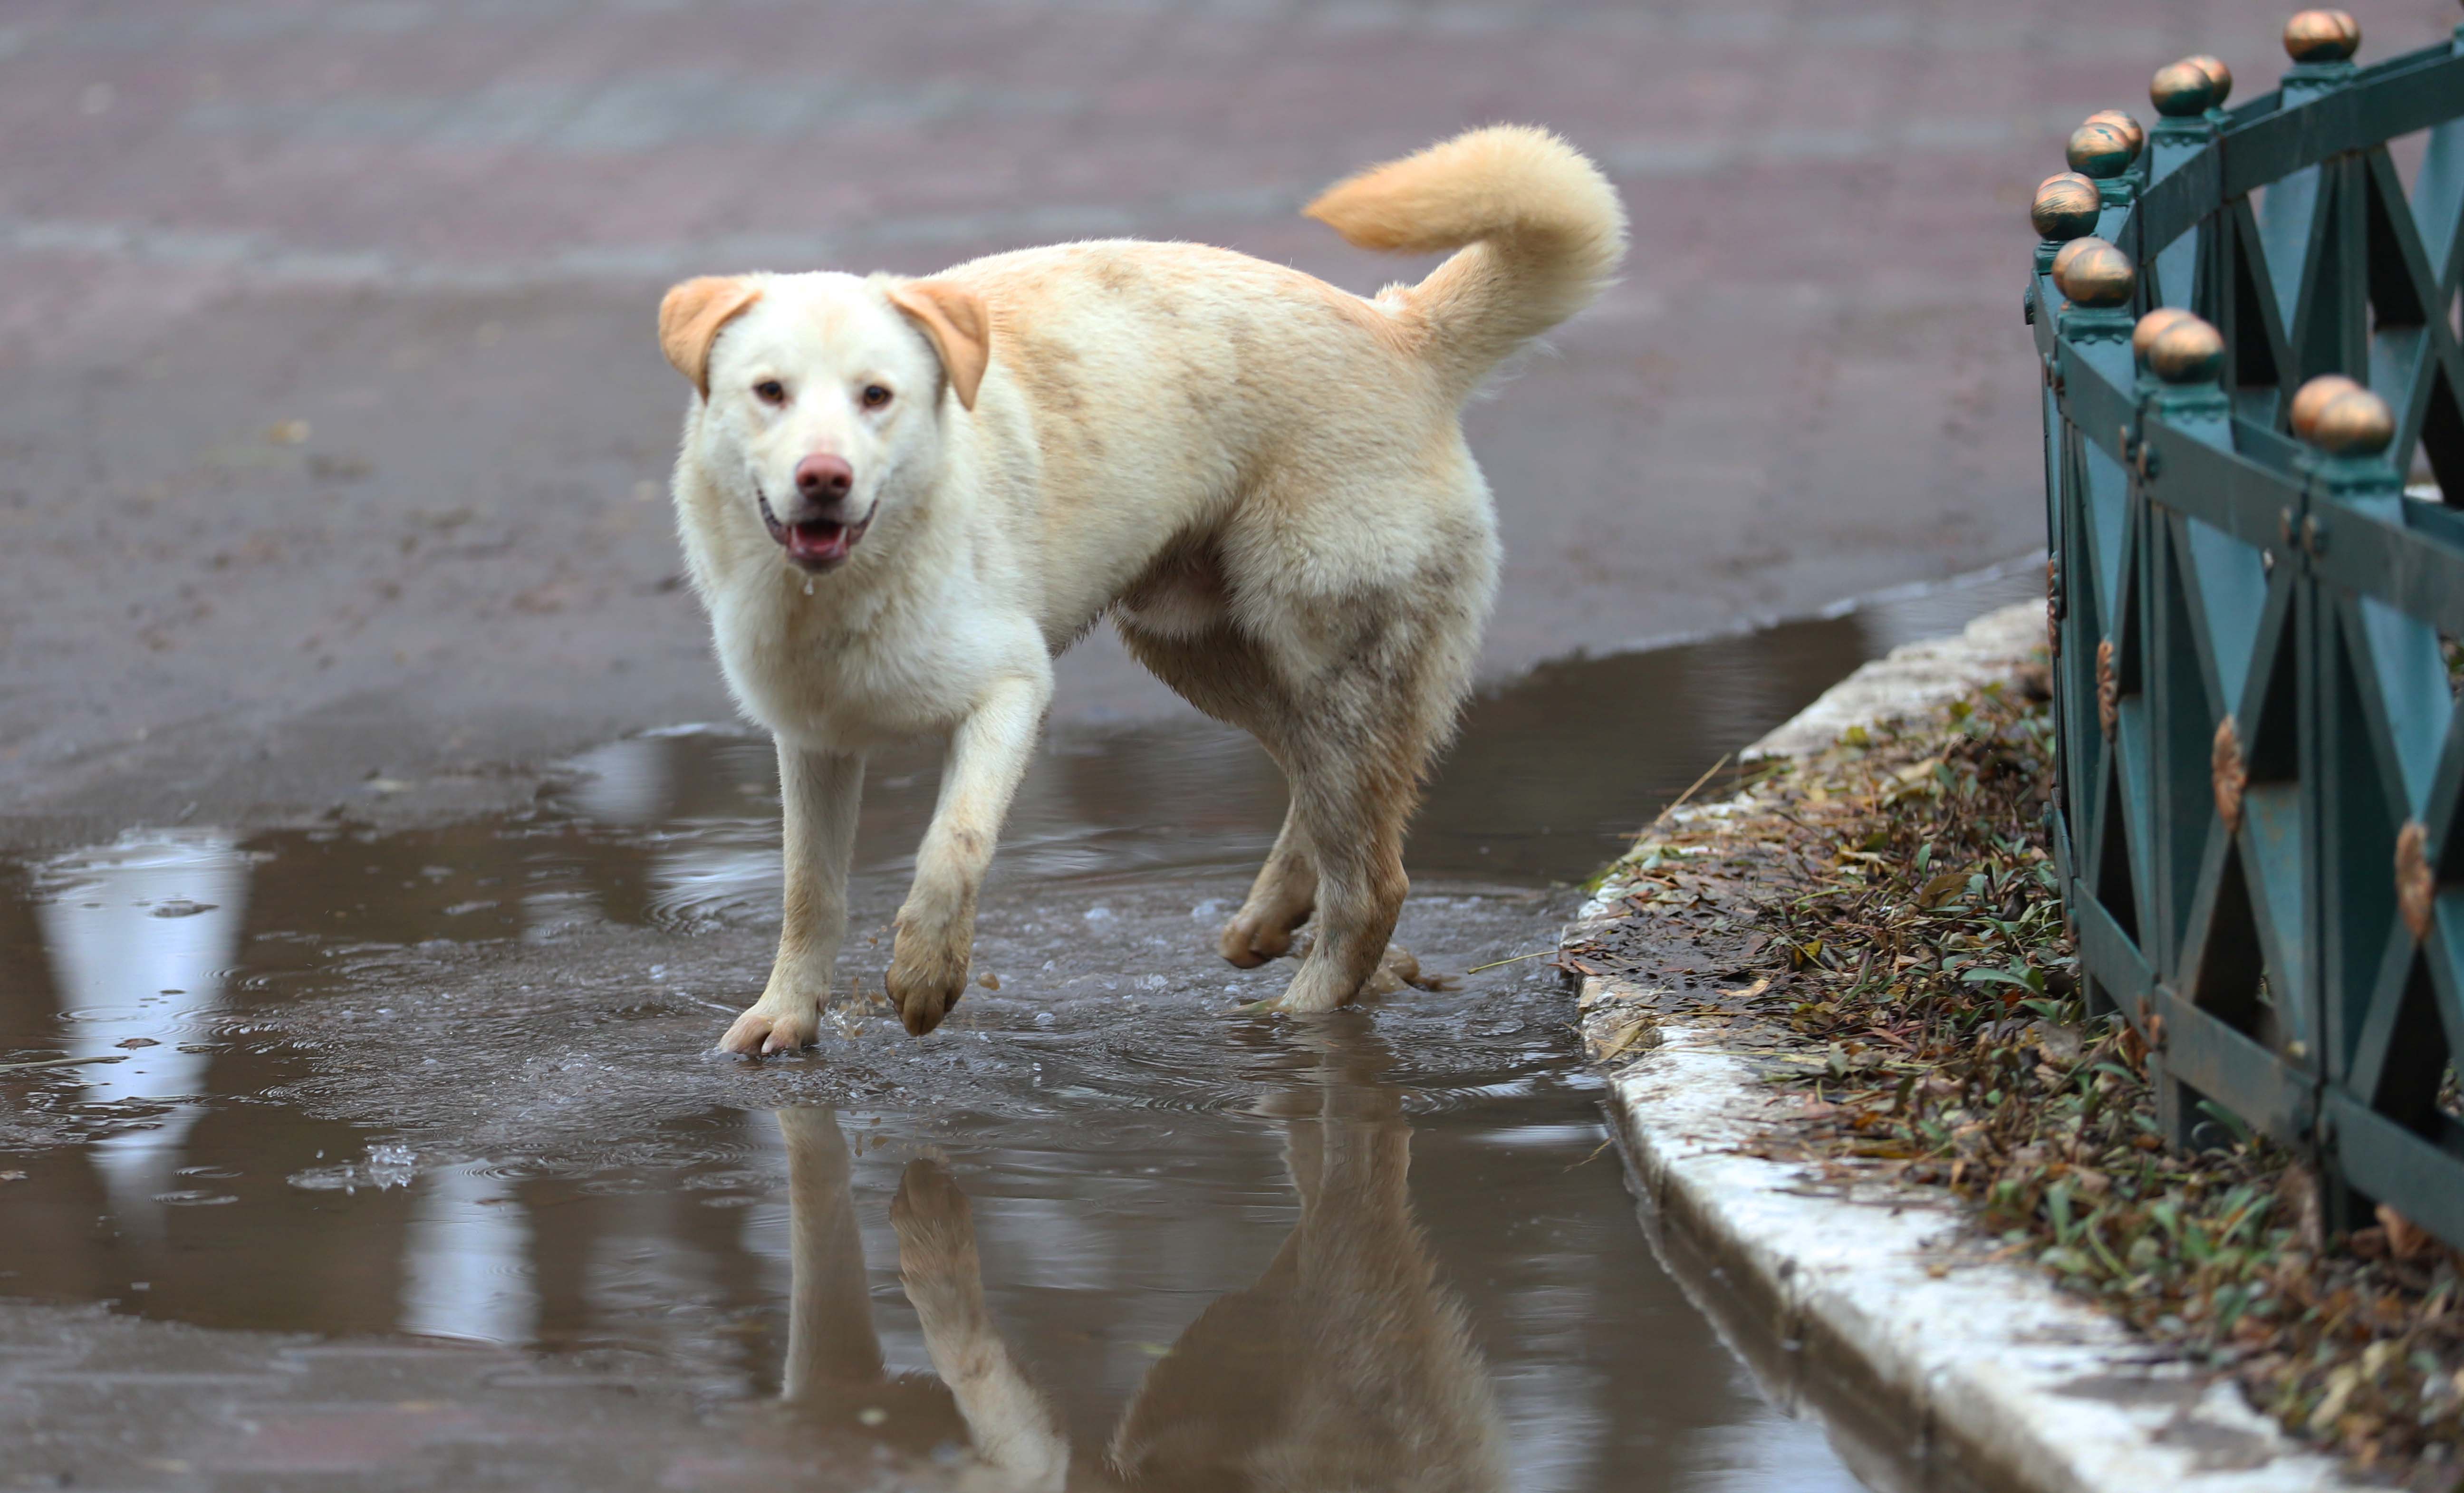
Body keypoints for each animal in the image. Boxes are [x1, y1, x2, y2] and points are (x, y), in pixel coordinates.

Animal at [655, 125, 1626, 1054]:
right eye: (769, 392)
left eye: (875, 396)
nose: (824, 480)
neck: (844, 587)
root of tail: (1402, 331)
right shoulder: (812, 742)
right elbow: (807, 892)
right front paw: (784, 1016)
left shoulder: (1011, 689)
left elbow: (953, 845)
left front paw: (927, 976)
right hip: (1204, 652)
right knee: (1320, 800)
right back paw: (1272, 919)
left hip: (1333, 661)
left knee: (1372, 884)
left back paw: (1293, 1018)